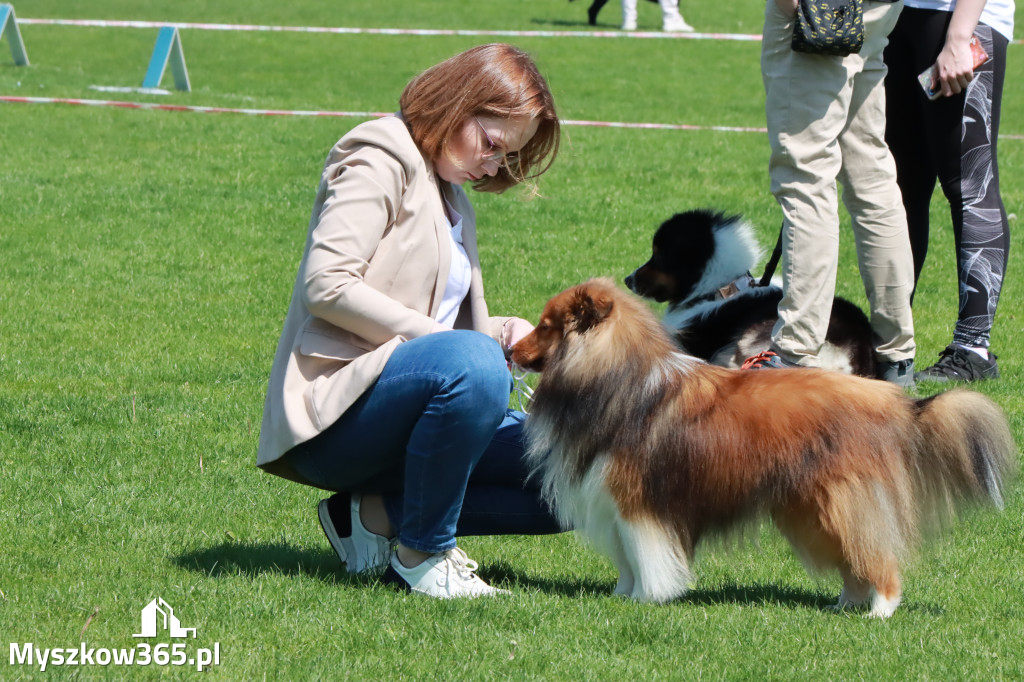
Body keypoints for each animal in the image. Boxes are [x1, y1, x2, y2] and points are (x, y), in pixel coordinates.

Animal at [512, 276, 1015, 614]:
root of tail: (892, 403)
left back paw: (880, 611)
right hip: (813, 510)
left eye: (546, 326)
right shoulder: (613, 503)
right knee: (854, 563)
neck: (616, 379)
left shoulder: (638, 502)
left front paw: (647, 600)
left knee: (878, 561)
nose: (510, 350)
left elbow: (647, 557)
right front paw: (621, 596)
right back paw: (843, 607)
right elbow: (627, 560)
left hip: (841, 503)